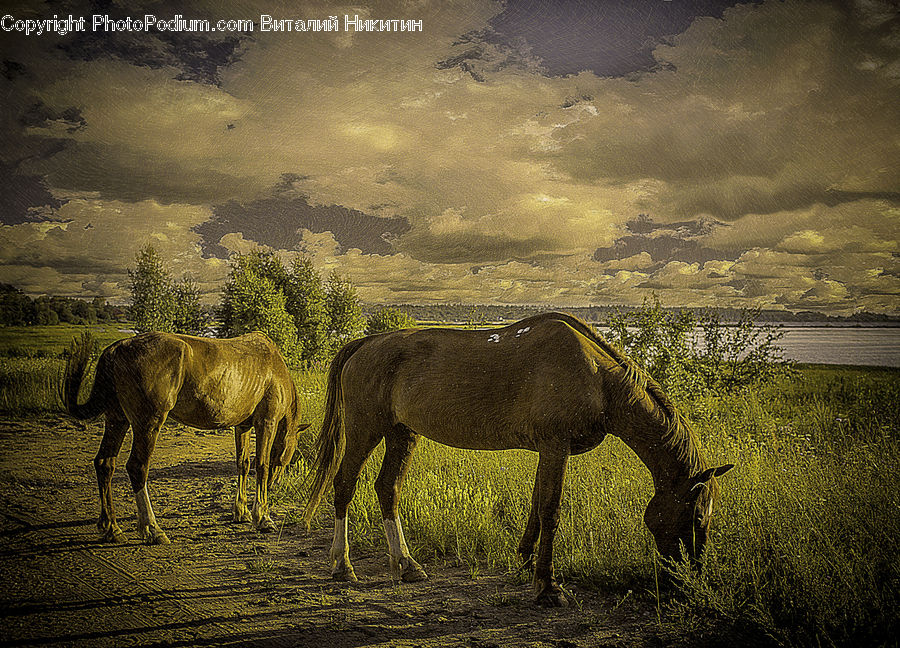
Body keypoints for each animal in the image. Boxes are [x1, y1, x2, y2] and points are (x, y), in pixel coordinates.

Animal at [63, 331, 309, 545]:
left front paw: (242, 512)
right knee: (137, 467)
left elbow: (243, 464)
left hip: (117, 419)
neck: (274, 368)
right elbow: (262, 465)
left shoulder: (242, 426)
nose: (274, 485)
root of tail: (117, 349)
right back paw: (152, 529)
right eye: (286, 457)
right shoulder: (266, 422)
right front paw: (263, 517)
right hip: (148, 423)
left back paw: (111, 528)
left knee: (105, 463)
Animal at [302, 312, 733, 606]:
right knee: (344, 485)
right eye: (696, 516)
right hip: (365, 430)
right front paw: (547, 587)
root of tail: (365, 343)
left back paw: (406, 565)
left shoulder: (549, 449)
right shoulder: (556, 445)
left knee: (387, 489)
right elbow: (551, 511)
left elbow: (536, 508)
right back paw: (343, 566)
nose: (688, 581)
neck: (598, 379)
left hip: (401, 434)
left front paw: (525, 561)